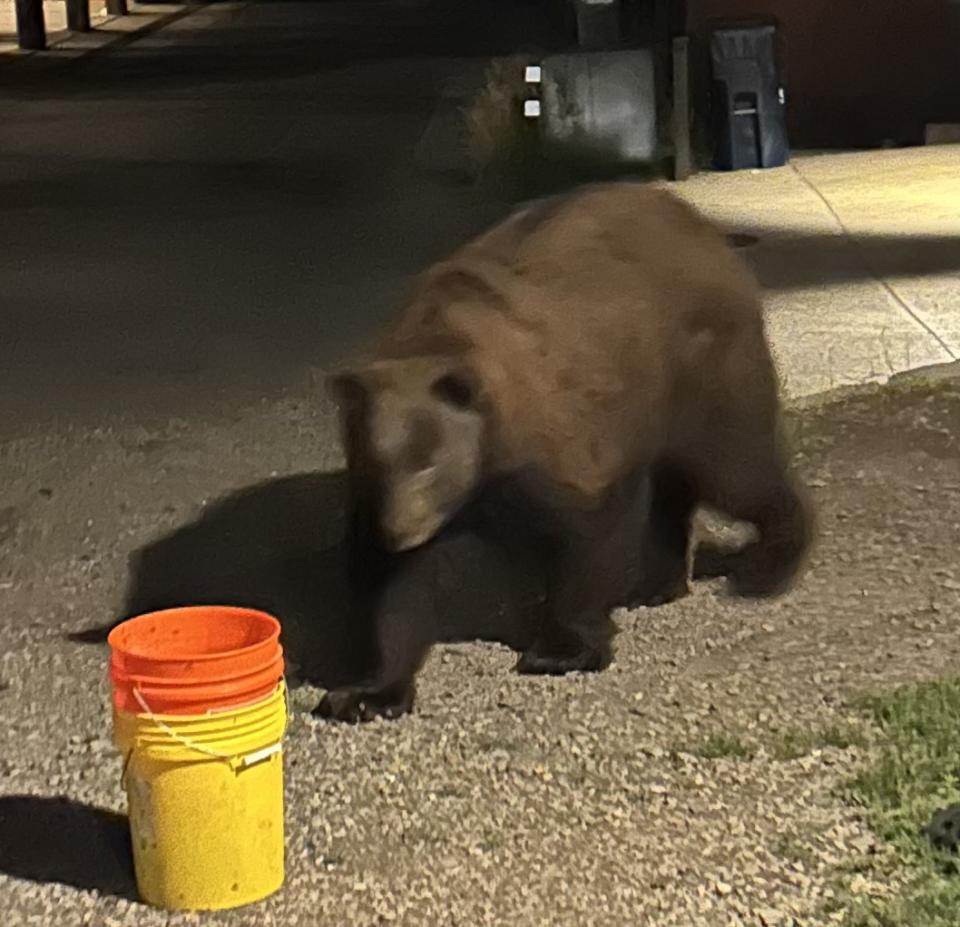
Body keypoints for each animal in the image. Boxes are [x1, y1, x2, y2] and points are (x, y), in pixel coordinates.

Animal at [316, 183, 808, 724]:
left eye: (429, 462)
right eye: (376, 461)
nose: (400, 532)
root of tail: (702, 226)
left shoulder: (556, 440)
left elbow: (584, 534)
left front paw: (561, 650)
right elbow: (393, 590)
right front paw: (367, 693)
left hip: (704, 367)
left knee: (736, 470)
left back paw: (769, 566)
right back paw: (658, 584)